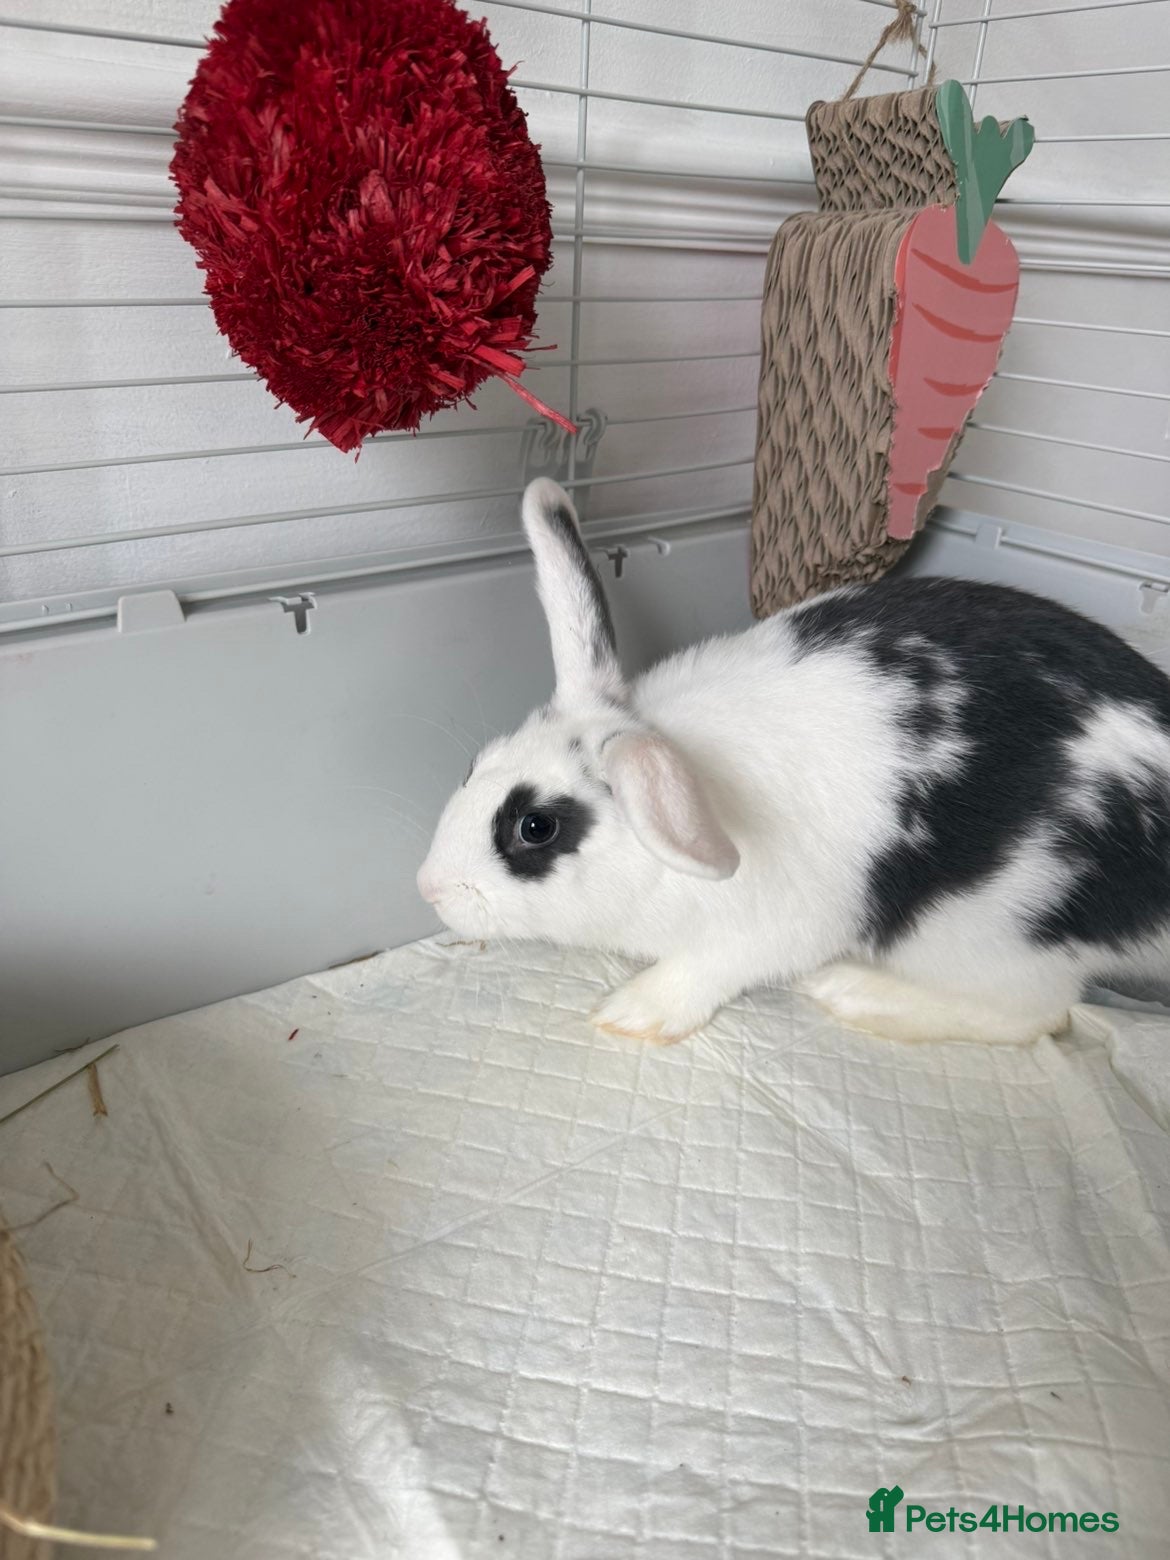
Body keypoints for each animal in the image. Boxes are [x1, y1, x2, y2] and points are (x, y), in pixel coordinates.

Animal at [416, 477, 1170, 1046]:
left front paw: (629, 1015)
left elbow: (703, 972)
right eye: (475, 765)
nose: (429, 888)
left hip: (989, 934)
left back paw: (847, 990)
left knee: (1038, 1014)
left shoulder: (760, 934)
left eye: (535, 827)